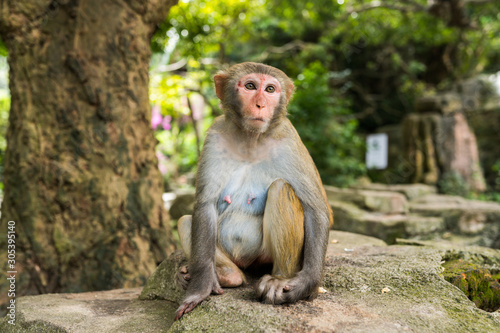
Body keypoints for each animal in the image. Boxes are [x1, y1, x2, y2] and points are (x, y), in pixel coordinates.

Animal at [174, 61, 334, 320]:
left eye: (270, 89)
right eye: (250, 86)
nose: (261, 104)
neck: (251, 140)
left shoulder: (289, 139)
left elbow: (317, 210)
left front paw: (306, 283)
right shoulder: (214, 136)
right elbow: (204, 206)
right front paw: (200, 288)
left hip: (263, 259)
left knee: (281, 189)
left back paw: (279, 279)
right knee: (187, 220)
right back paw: (226, 275)